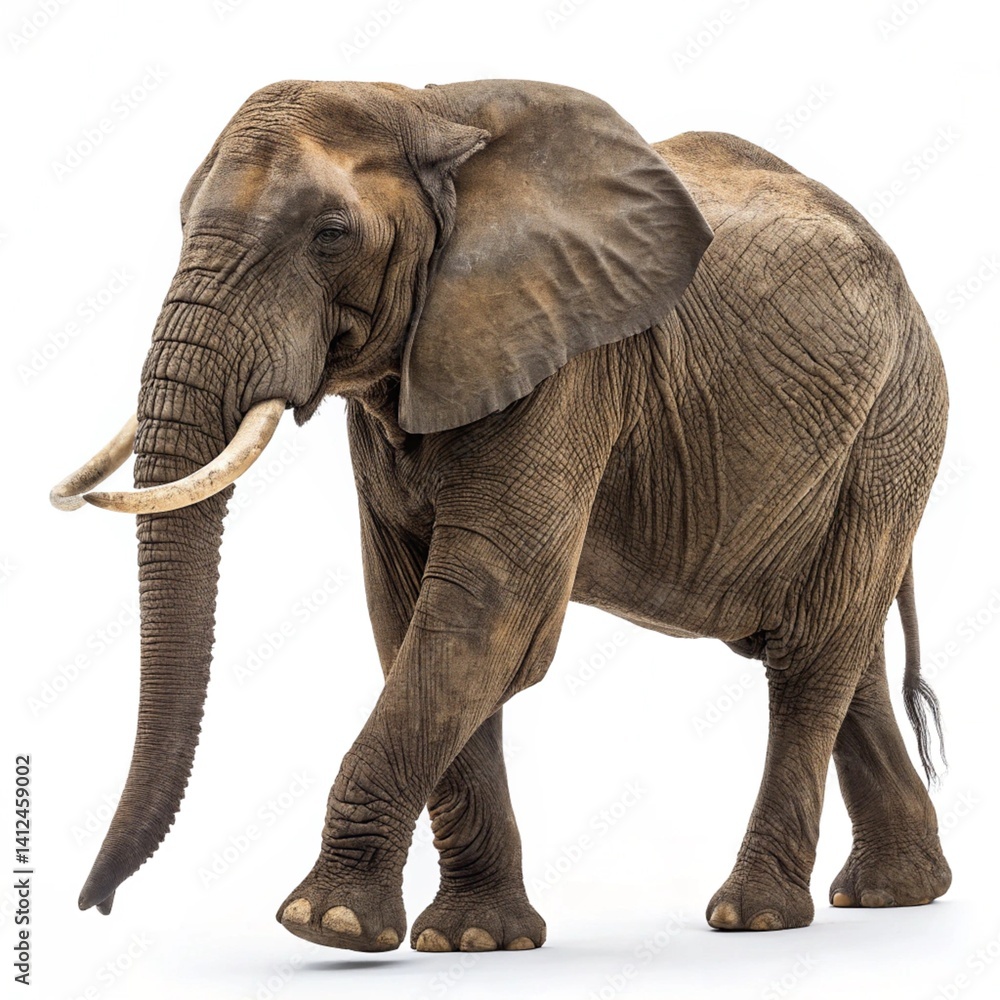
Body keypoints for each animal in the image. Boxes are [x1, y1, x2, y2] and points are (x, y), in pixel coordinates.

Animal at [51, 79, 951, 953]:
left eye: (331, 235)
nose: (94, 905)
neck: (424, 108)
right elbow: (413, 618)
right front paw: (474, 939)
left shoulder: (571, 367)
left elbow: (487, 615)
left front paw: (327, 925)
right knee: (840, 653)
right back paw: (894, 894)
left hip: (895, 425)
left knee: (809, 659)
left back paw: (754, 915)